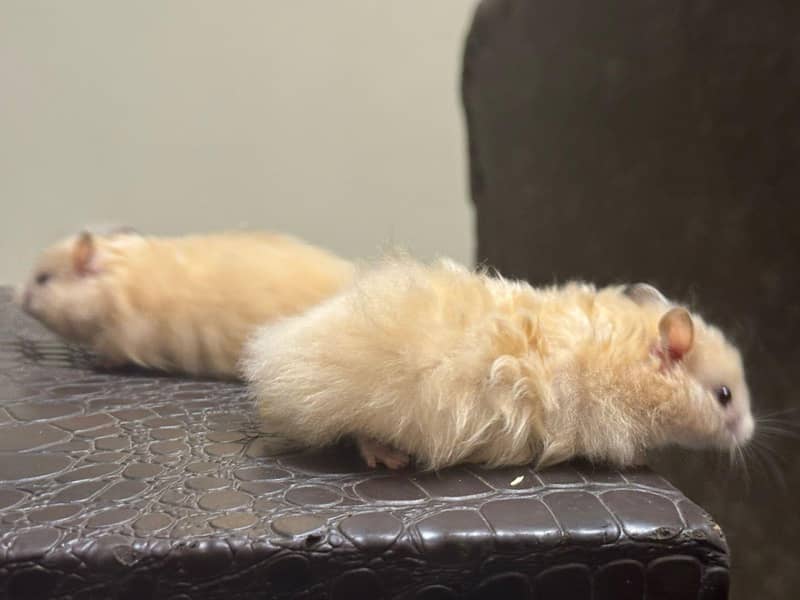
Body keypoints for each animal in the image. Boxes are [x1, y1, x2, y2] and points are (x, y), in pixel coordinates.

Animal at [243, 257, 755, 470]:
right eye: (724, 395)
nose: (750, 433)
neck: (630, 363)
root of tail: (275, 353)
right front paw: (642, 461)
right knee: (356, 432)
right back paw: (390, 460)